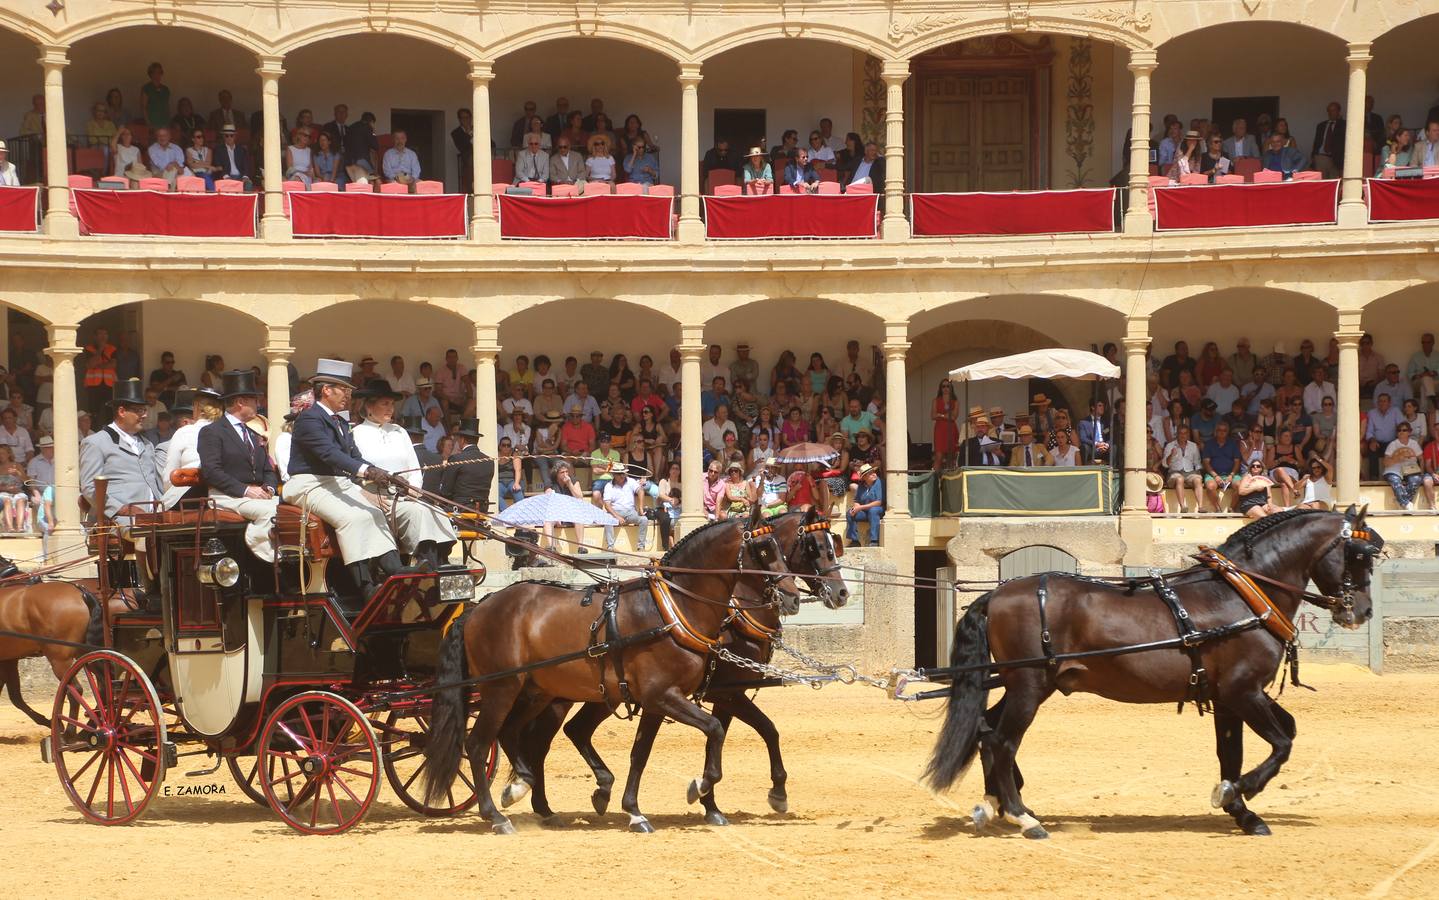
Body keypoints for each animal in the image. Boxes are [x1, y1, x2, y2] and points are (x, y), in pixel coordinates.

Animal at [0, 555, 106, 731]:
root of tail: (81, 593)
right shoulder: (8, 659)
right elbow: (15, 696)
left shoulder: (7, 660)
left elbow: (15, 697)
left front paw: (53, 723)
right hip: (85, 653)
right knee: (105, 686)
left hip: (59, 659)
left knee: (74, 691)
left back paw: (69, 731)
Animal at [425, 509, 805, 829]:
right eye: (764, 549)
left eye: (781, 547)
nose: (792, 596)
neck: (672, 610)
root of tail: (480, 607)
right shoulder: (668, 695)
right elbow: (715, 730)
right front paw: (700, 787)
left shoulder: (659, 701)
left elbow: (641, 754)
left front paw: (635, 810)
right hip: (501, 689)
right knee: (479, 744)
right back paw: (495, 815)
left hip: (537, 692)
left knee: (517, 735)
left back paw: (526, 790)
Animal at [926, 506, 1375, 835]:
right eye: (1360, 555)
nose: (1364, 611)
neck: (1239, 595)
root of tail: (997, 593)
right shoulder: (1242, 691)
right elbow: (1280, 744)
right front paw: (1236, 792)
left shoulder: (1229, 697)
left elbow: (1239, 750)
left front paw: (1241, 810)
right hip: (1028, 687)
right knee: (1002, 741)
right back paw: (1022, 816)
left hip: (1029, 686)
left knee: (987, 731)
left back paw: (997, 804)